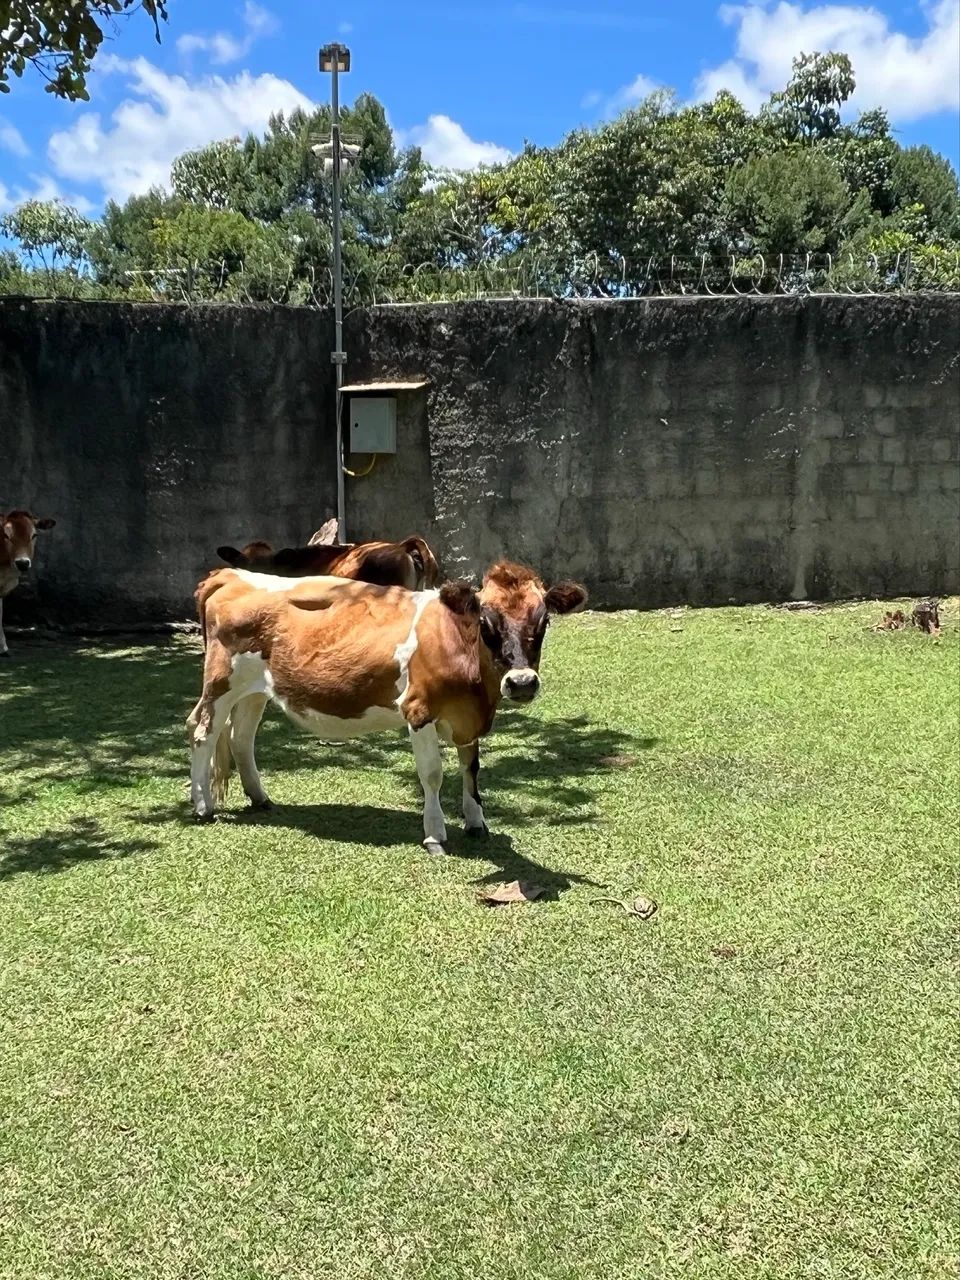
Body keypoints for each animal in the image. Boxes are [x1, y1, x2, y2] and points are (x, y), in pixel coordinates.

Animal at [187, 560, 587, 852]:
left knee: (240, 738)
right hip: (221, 682)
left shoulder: (468, 718)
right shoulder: (418, 709)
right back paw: (203, 807)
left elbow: (471, 768)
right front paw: (435, 835)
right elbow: (432, 774)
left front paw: (477, 821)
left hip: (255, 689)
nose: (522, 682)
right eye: (486, 622)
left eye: (544, 621)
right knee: (202, 731)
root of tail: (230, 575)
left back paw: (260, 798)